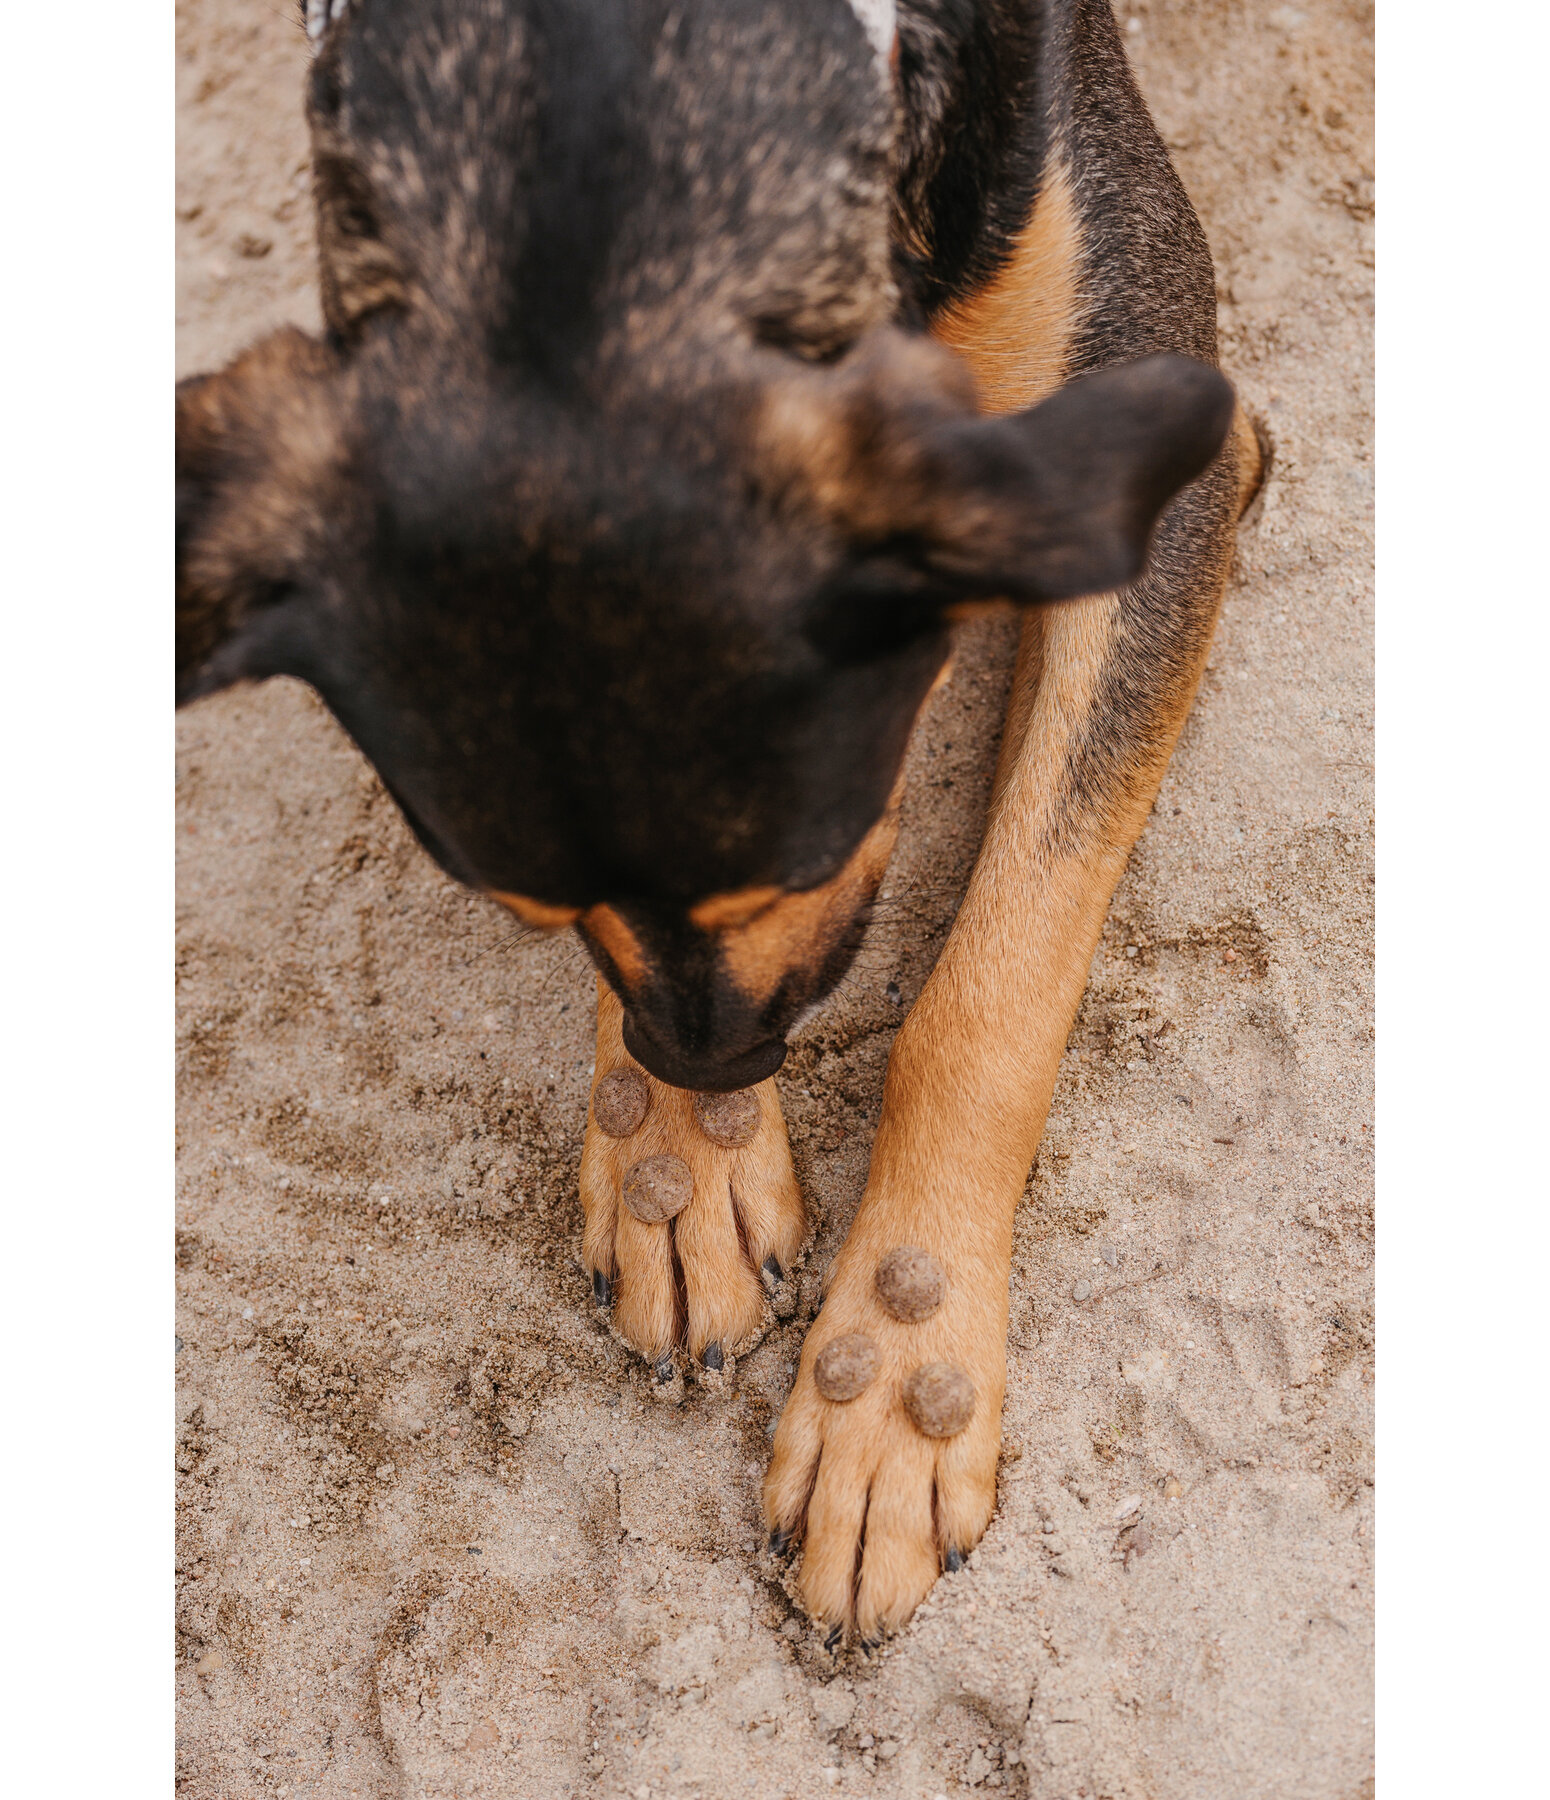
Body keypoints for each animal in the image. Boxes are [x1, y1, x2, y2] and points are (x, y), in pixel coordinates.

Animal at [175, 0, 1260, 1648]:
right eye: (524, 901)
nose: (714, 1066)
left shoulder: (1164, 433)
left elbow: (996, 982)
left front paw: (898, 1381)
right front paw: (673, 1168)